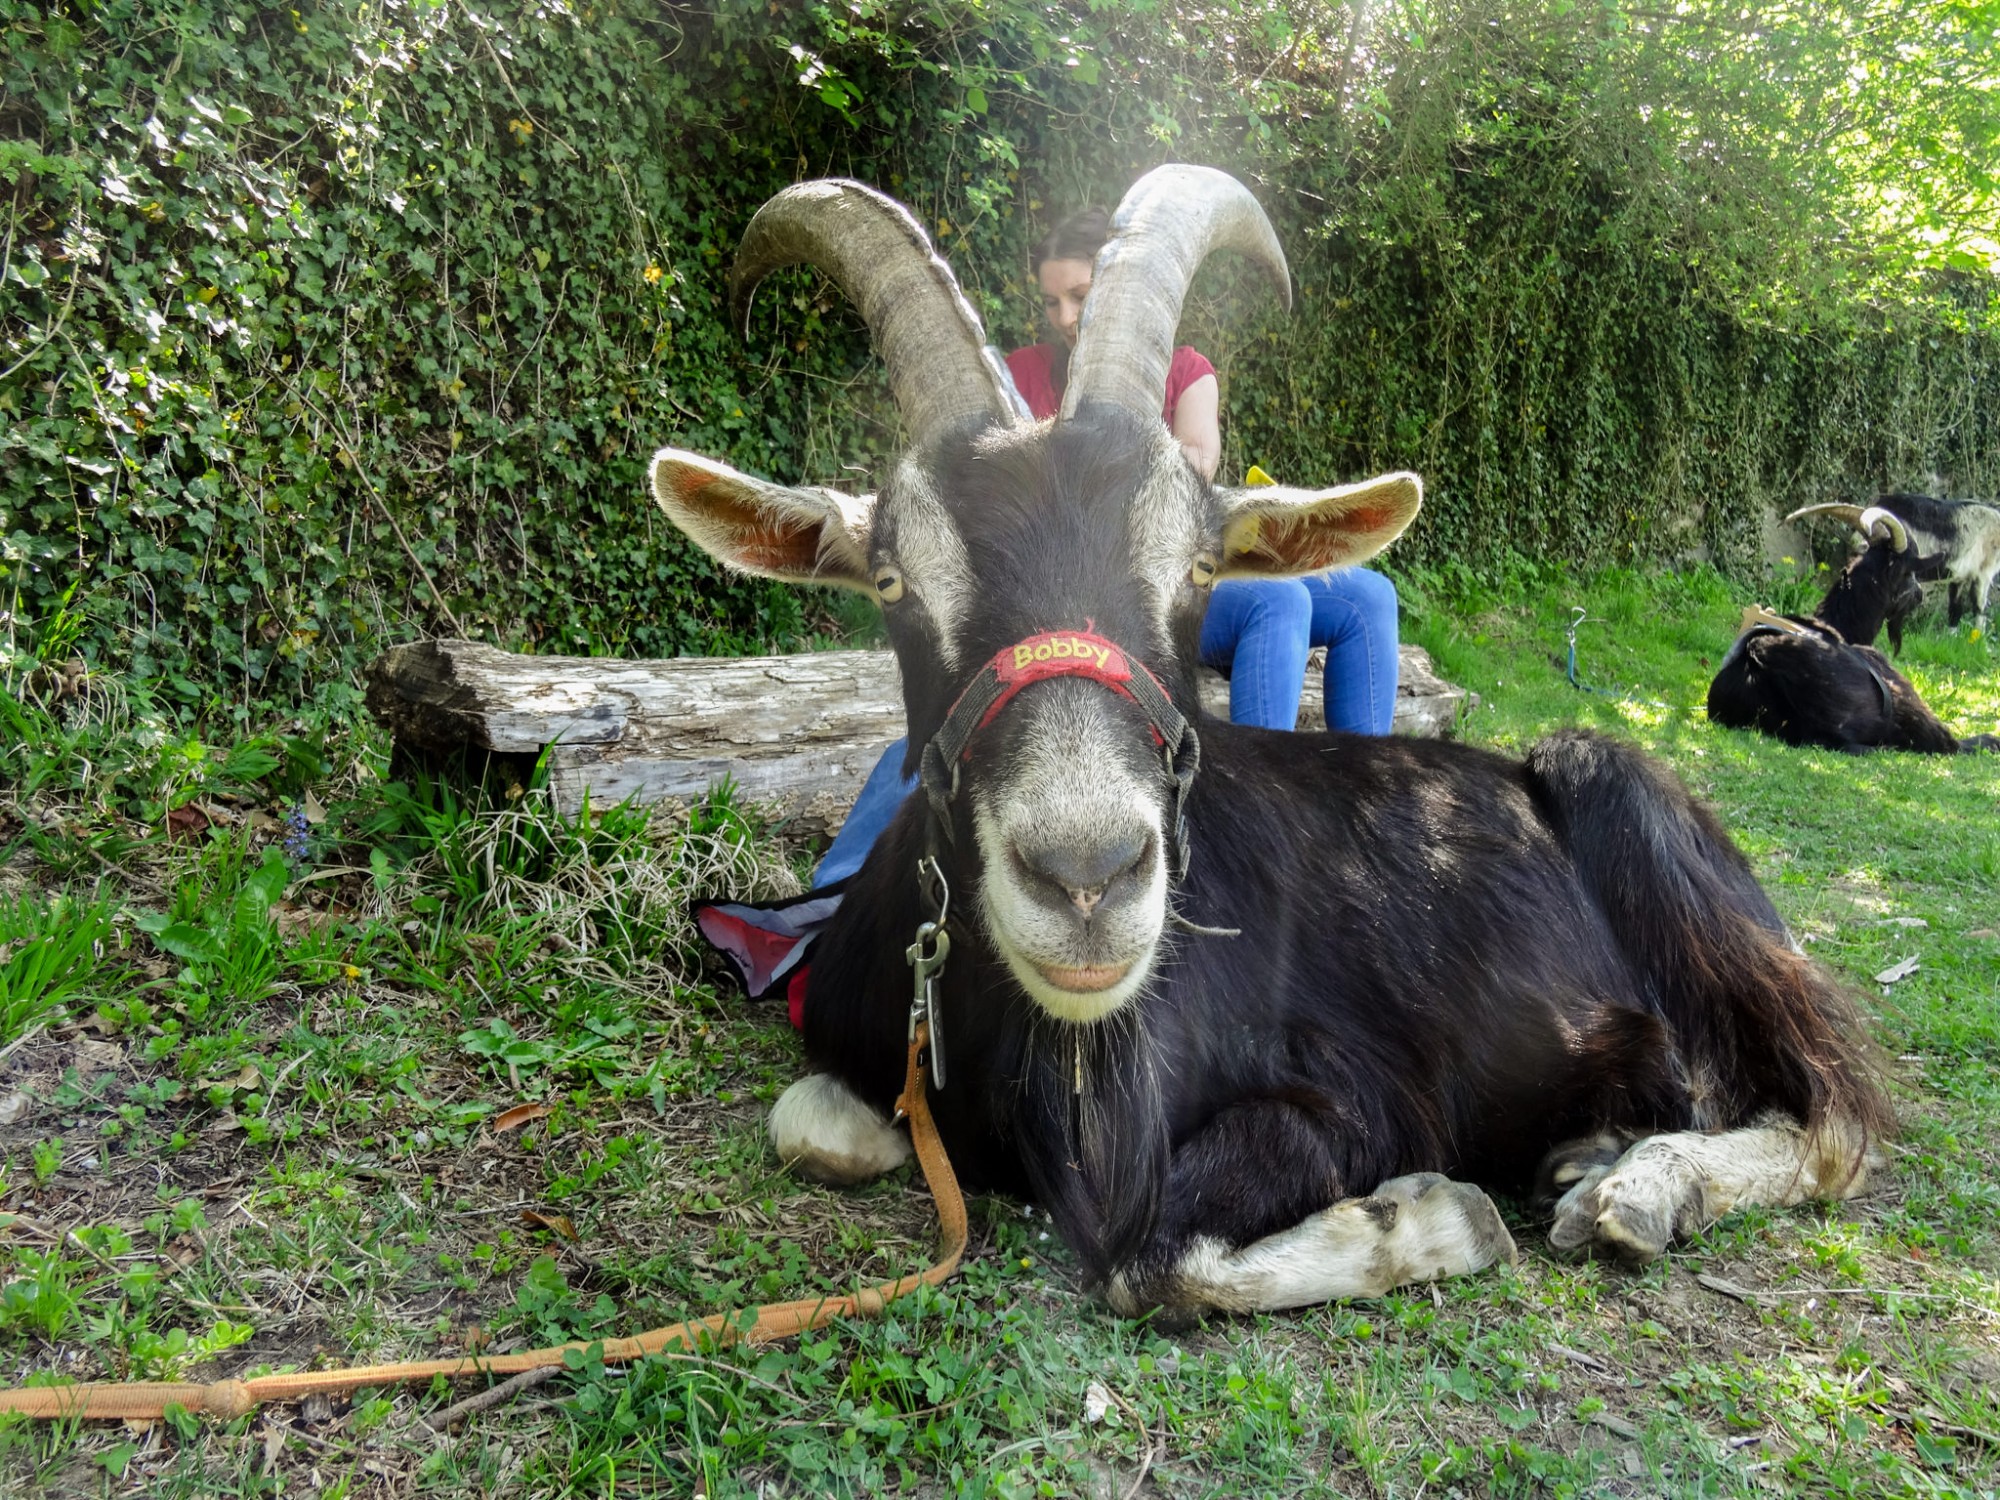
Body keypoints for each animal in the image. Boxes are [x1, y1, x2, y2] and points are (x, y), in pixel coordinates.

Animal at [651, 167, 1890, 1317]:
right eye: (894, 582)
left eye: (1198, 567)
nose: (1086, 876)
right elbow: (810, 1123)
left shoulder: (1360, 1092)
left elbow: (1152, 1260)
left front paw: (1440, 1218)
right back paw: (1588, 1153)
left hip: (1643, 825)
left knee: (1835, 1119)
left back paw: (1635, 1189)